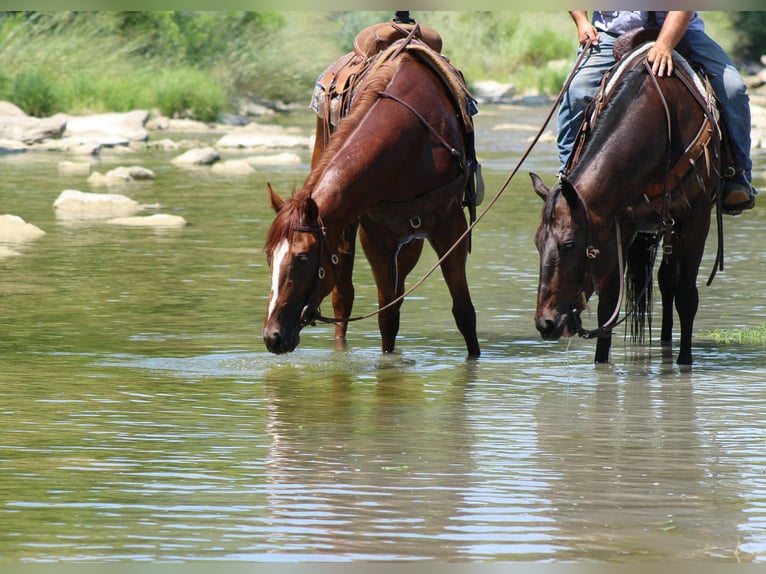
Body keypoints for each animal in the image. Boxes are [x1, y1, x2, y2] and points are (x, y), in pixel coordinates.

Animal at [263, 32, 481, 359]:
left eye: (302, 258)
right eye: (268, 256)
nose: (272, 337)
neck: (412, 142)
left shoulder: (450, 227)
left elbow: (464, 312)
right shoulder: (375, 237)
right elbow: (386, 317)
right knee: (344, 299)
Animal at [530, 41, 722, 366]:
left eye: (569, 244)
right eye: (537, 243)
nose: (546, 324)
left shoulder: (697, 219)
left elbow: (687, 297)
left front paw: (684, 363)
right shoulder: (618, 226)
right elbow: (608, 308)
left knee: (671, 284)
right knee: (665, 281)